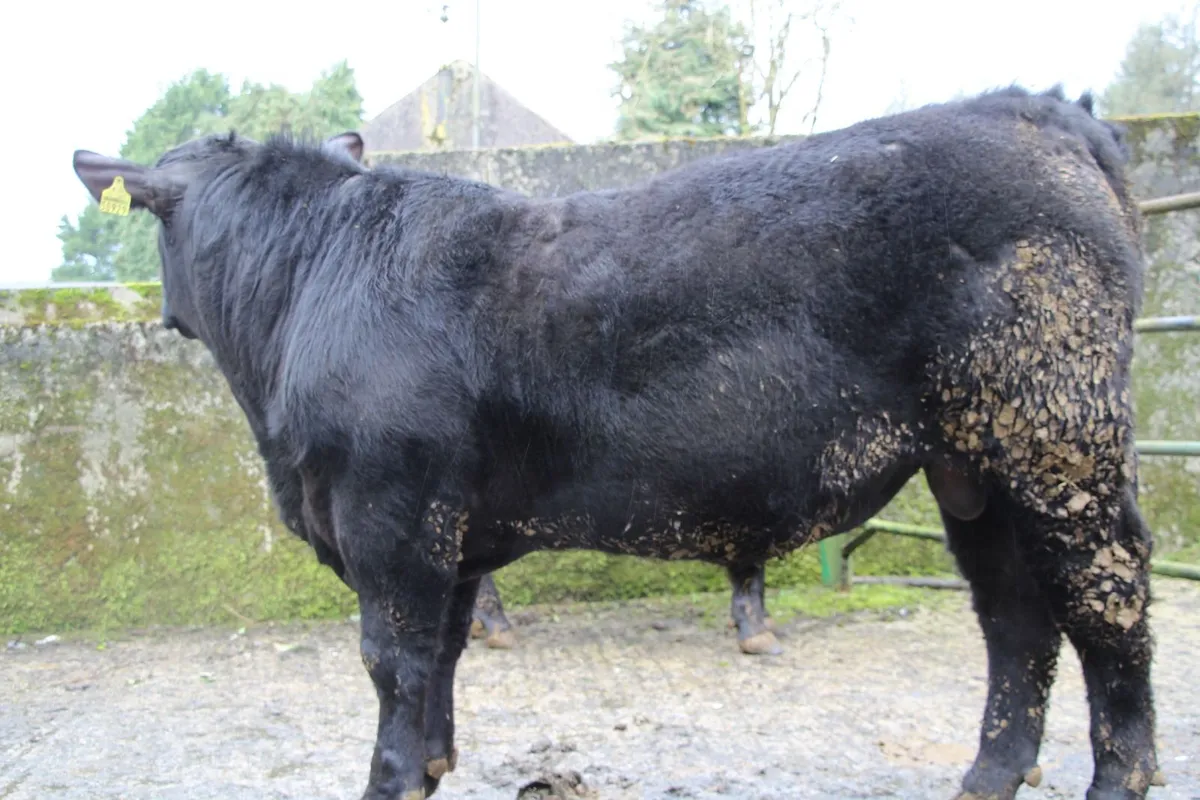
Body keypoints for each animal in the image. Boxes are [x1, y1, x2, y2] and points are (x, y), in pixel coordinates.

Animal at [71, 84, 1161, 800]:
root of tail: (1037, 110)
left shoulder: (389, 515)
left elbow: (396, 659)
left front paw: (390, 778)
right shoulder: (452, 535)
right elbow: (446, 656)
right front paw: (434, 763)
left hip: (1056, 434)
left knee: (1106, 598)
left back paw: (1115, 774)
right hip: (972, 460)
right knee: (1015, 614)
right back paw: (987, 776)